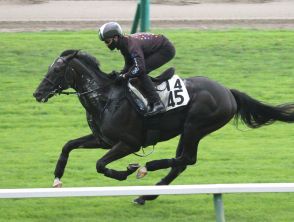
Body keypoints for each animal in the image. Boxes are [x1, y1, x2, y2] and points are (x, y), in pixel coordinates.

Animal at [32, 50, 294, 205]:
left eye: (57, 69)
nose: (37, 93)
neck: (106, 98)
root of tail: (228, 91)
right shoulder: (103, 140)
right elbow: (68, 146)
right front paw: (57, 178)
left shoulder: (128, 143)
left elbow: (100, 165)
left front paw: (126, 171)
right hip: (189, 131)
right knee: (181, 163)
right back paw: (146, 195)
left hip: (195, 126)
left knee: (186, 159)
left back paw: (146, 169)